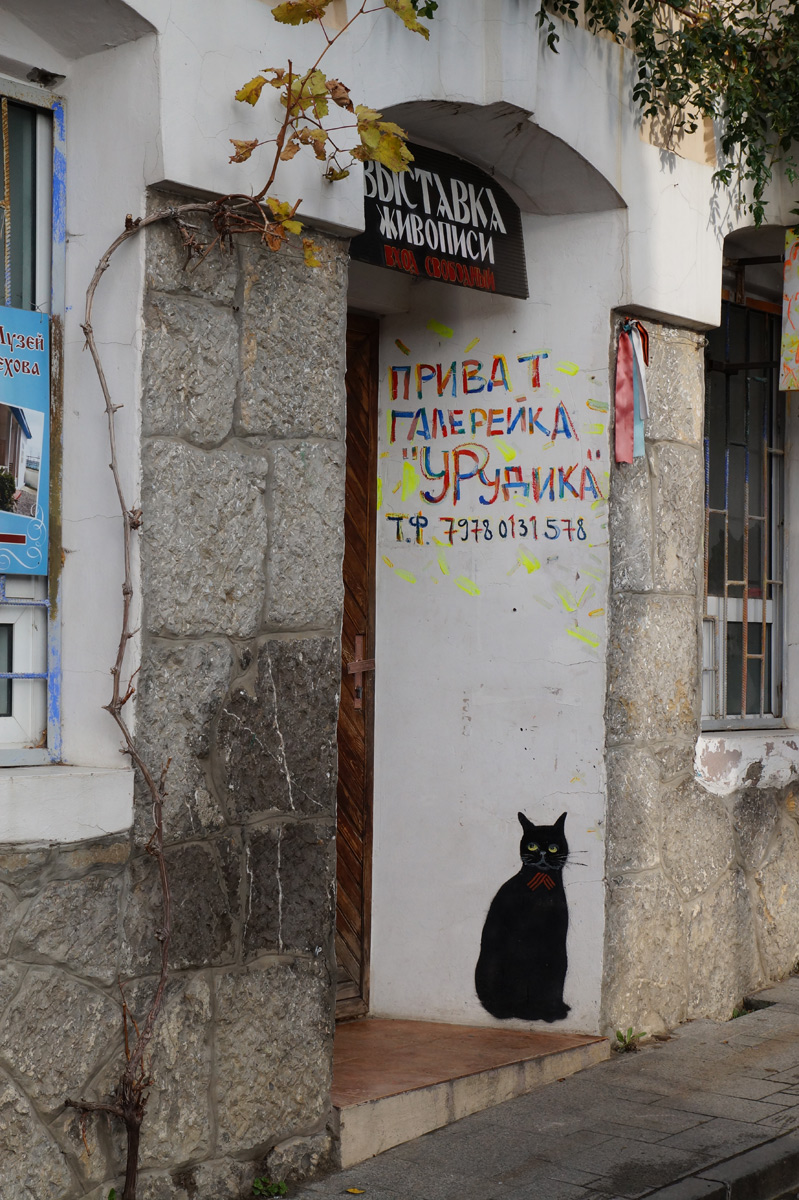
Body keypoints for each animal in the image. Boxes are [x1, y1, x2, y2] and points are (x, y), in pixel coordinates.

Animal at [475, 811, 570, 1023]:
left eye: (553, 847)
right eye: (532, 845)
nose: (542, 853)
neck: (542, 890)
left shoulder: (556, 944)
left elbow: (553, 980)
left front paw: (552, 1010)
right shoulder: (519, 948)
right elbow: (521, 983)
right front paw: (532, 1013)